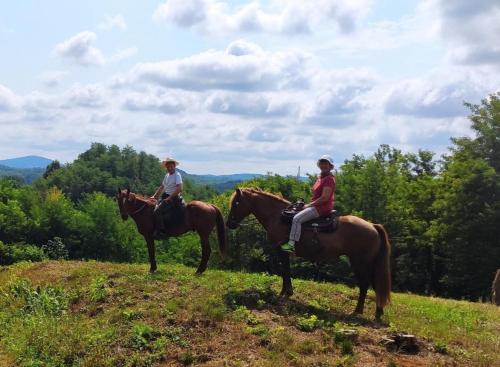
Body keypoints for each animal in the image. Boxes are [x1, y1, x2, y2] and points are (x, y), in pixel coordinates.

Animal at [226, 188, 390, 320]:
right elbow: (286, 271)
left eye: (236, 203)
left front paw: (285, 293)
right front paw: (287, 292)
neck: (277, 216)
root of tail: (373, 226)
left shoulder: (281, 250)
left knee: (364, 285)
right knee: (376, 285)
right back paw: (378, 313)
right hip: (370, 264)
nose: (229, 224)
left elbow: (285, 270)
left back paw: (357, 311)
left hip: (360, 263)